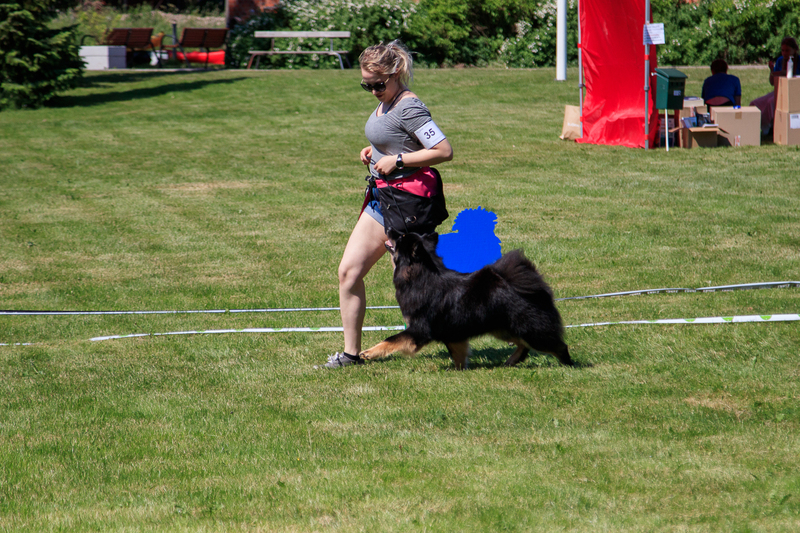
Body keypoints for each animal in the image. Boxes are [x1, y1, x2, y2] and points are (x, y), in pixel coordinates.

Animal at [360, 230, 574, 369]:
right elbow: (458, 353)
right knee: (523, 345)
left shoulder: (420, 329)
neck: (421, 277)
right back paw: (511, 361)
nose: (390, 228)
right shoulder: (453, 333)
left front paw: (369, 352)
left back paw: (568, 365)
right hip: (502, 328)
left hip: (530, 330)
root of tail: (537, 286)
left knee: (558, 346)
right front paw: (458, 369)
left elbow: (392, 339)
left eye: (401, 237)